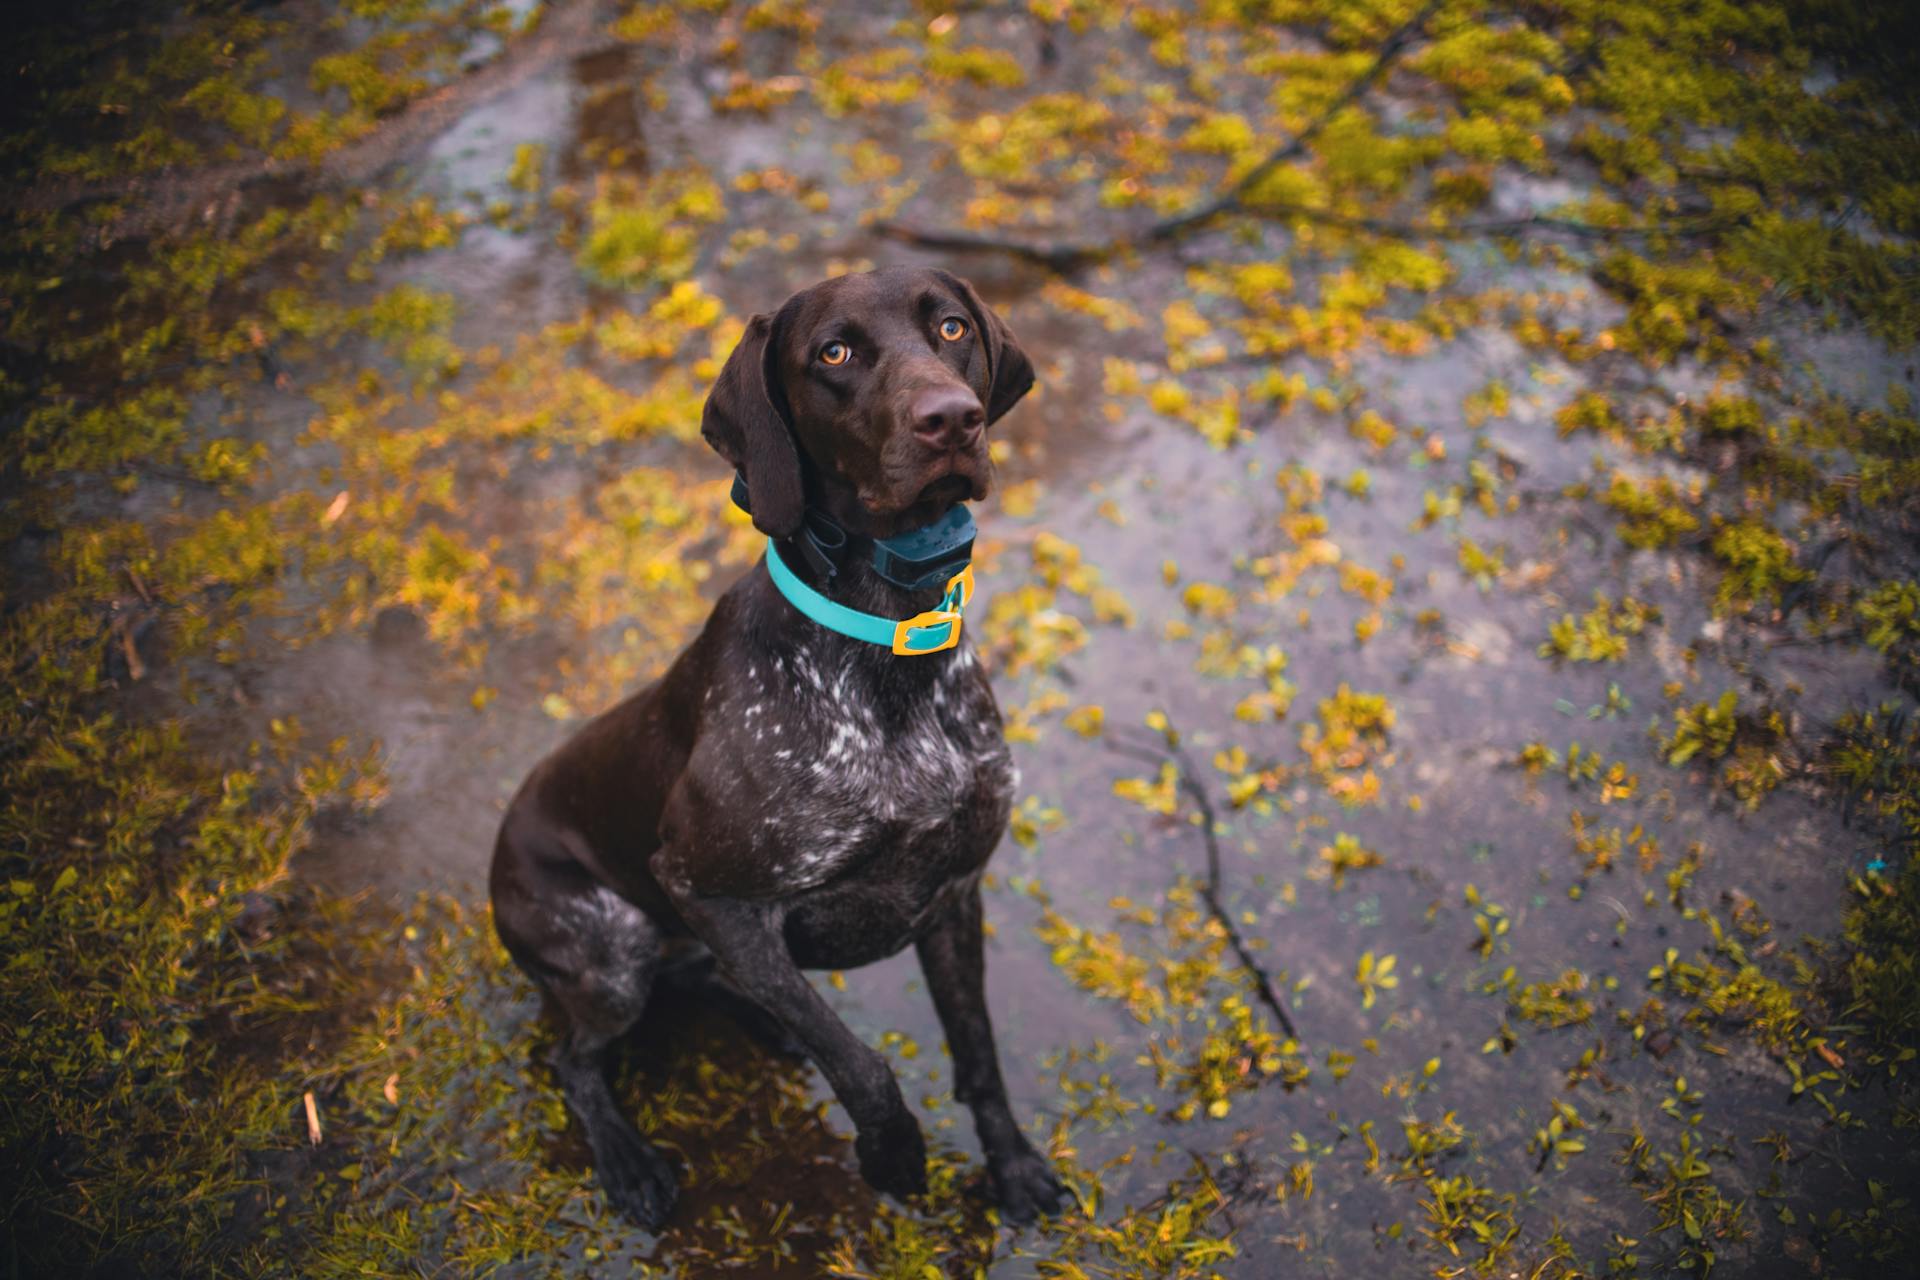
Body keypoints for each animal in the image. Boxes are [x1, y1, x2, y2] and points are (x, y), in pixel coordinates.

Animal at [491, 268, 1067, 1228]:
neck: (886, 640)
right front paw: (893, 1154)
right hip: (612, 951)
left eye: (951, 328)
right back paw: (629, 1161)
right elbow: (860, 1062)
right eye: (833, 353)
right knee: (577, 1059)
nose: (952, 419)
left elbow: (978, 1053)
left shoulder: (954, 893)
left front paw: (1014, 1164)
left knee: (724, 986)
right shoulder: (706, 889)